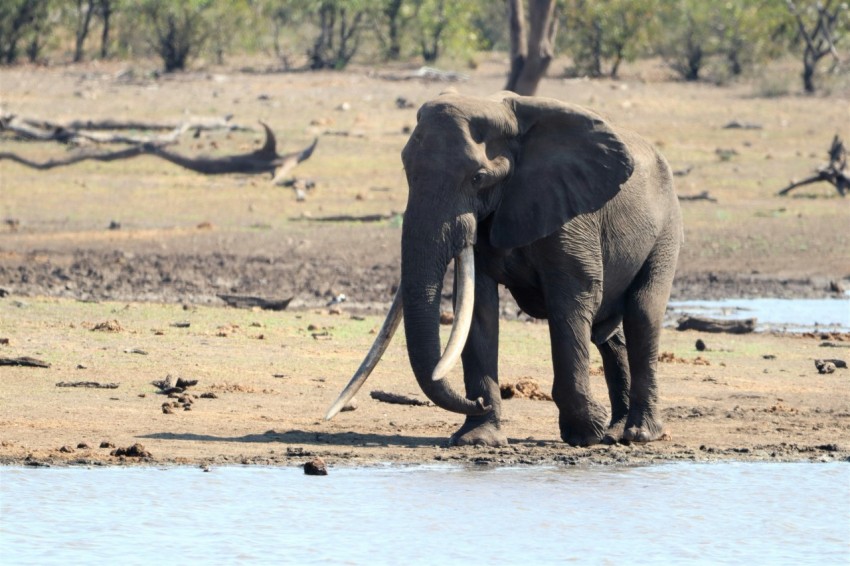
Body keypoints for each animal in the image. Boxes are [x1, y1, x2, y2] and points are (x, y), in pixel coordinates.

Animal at [326, 91, 682, 448]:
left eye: (478, 178)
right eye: (406, 170)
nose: (477, 401)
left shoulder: (572, 214)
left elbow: (571, 301)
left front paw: (584, 433)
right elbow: (478, 307)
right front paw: (478, 438)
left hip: (667, 228)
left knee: (642, 313)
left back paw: (639, 434)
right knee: (608, 333)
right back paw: (616, 433)